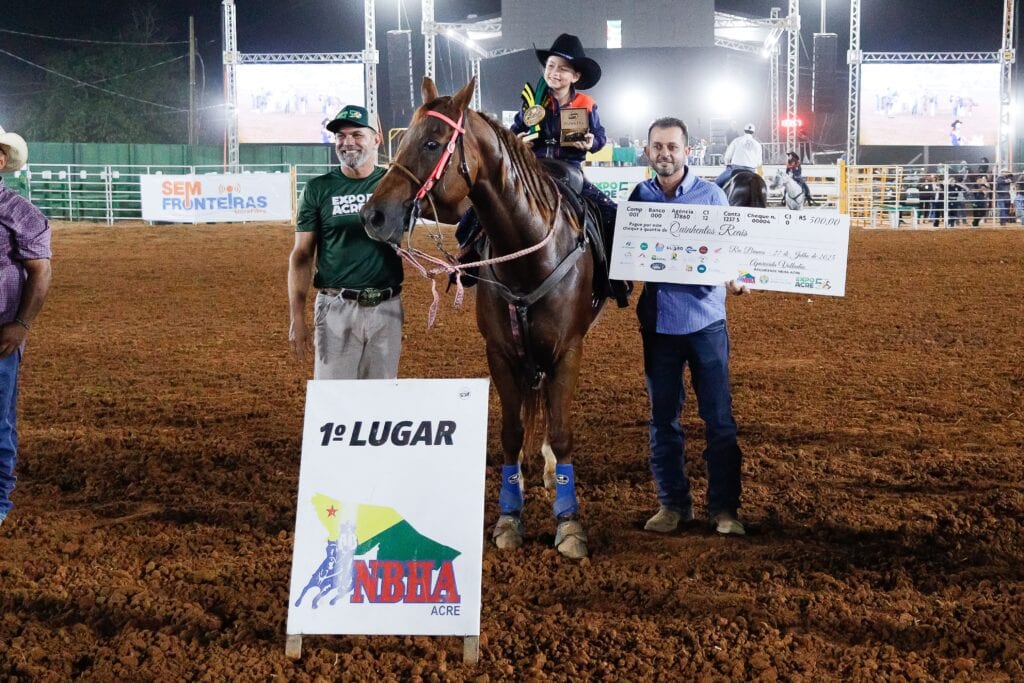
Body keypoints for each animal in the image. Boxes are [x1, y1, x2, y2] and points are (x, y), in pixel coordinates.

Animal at [361, 78, 602, 559]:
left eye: (433, 143)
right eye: (404, 138)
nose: (373, 215)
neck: (529, 253)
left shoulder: (568, 351)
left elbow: (561, 431)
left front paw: (569, 524)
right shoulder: (501, 353)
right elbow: (510, 433)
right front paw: (510, 517)